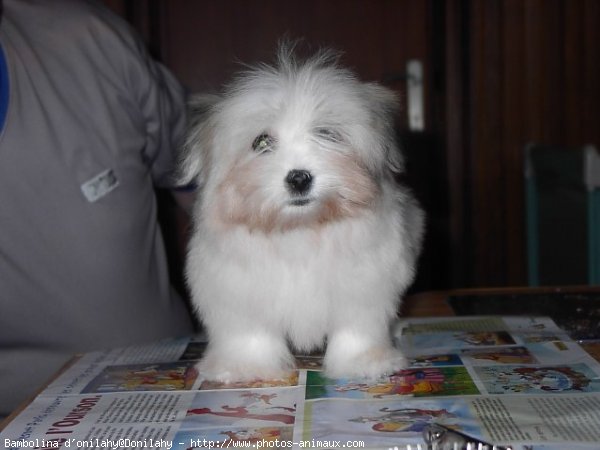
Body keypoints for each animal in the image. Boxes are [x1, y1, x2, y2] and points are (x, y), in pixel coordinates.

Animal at [180, 45, 424, 382]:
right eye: (262, 142)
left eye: (328, 134)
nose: (299, 178)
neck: (299, 228)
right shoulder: (239, 294)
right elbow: (249, 334)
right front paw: (244, 367)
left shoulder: (363, 288)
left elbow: (356, 329)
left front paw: (364, 363)